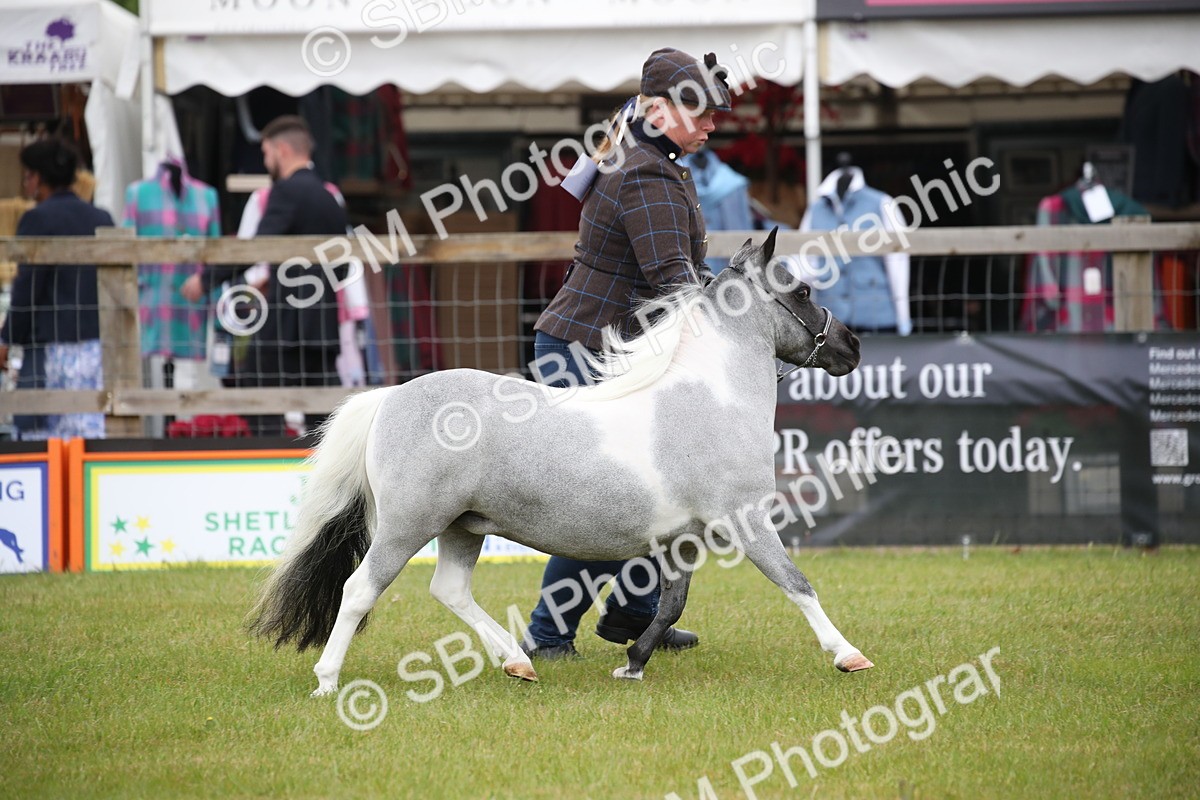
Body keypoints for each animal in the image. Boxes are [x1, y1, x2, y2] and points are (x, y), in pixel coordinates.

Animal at [249, 229, 874, 696]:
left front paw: (633, 663)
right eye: (801, 289)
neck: (710, 401)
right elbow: (797, 584)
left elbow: (671, 606)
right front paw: (849, 655)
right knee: (360, 589)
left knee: (450, 591)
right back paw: (327, 680)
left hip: (462, 527)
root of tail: (390, 398)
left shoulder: (683, 540)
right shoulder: (745, 520)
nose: (852, 345)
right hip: (409, 525)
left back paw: (518, 663)